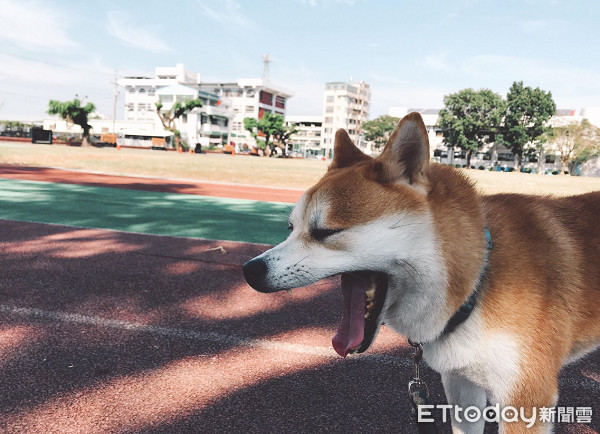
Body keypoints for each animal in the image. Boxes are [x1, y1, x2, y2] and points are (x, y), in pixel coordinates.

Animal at [241, 113, 596, 432]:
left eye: (326, 232)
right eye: (290, 229)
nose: (249, 270)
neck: (477, 282)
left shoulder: (525, 401)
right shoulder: (462, 387)